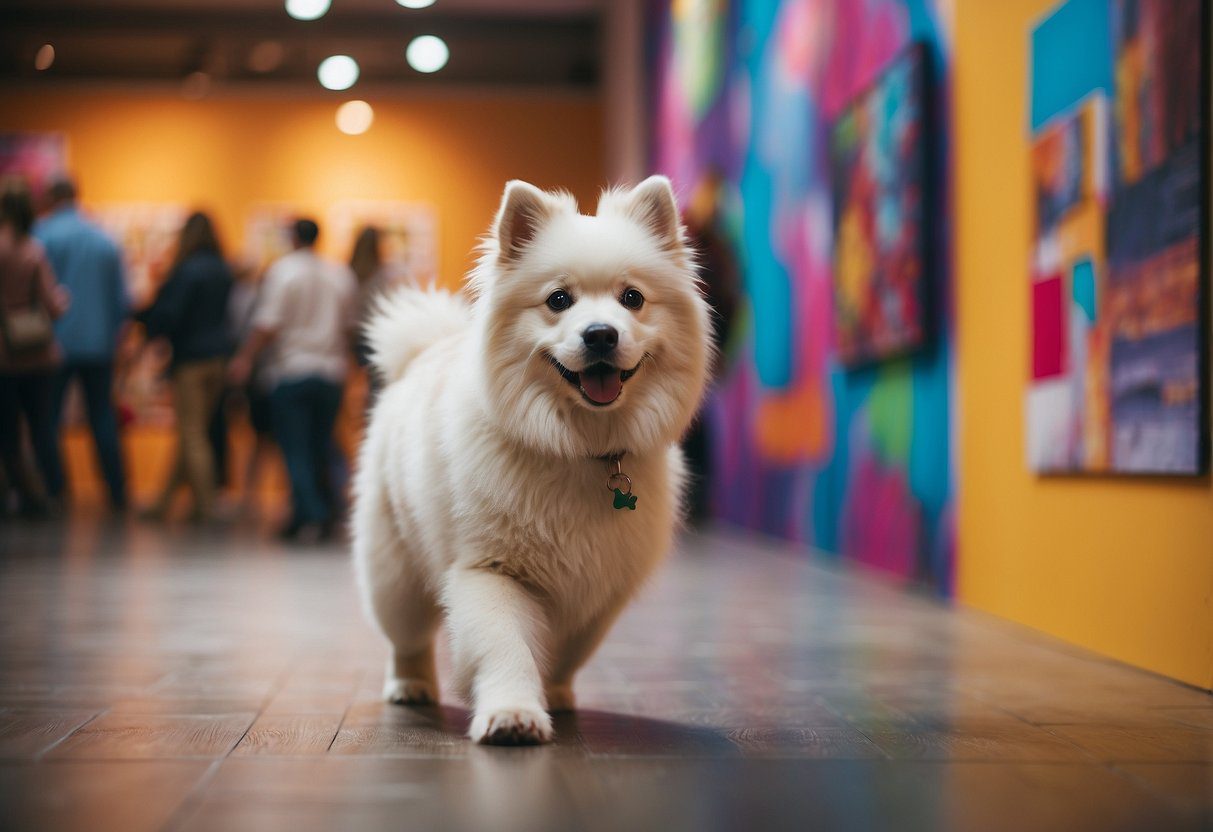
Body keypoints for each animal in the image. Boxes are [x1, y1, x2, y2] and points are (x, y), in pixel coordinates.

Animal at [351, 174, 708, 742]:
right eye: (558, 300)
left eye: (632, 298)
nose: (600, 333)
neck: (579, 449)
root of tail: (422, 353)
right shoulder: (492, 571)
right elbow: (505, 646)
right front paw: (512, 712)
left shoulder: (599, 590)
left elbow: (567, 652)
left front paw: (554, 694)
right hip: (395, 573)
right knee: (406, 637)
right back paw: (411, 685)